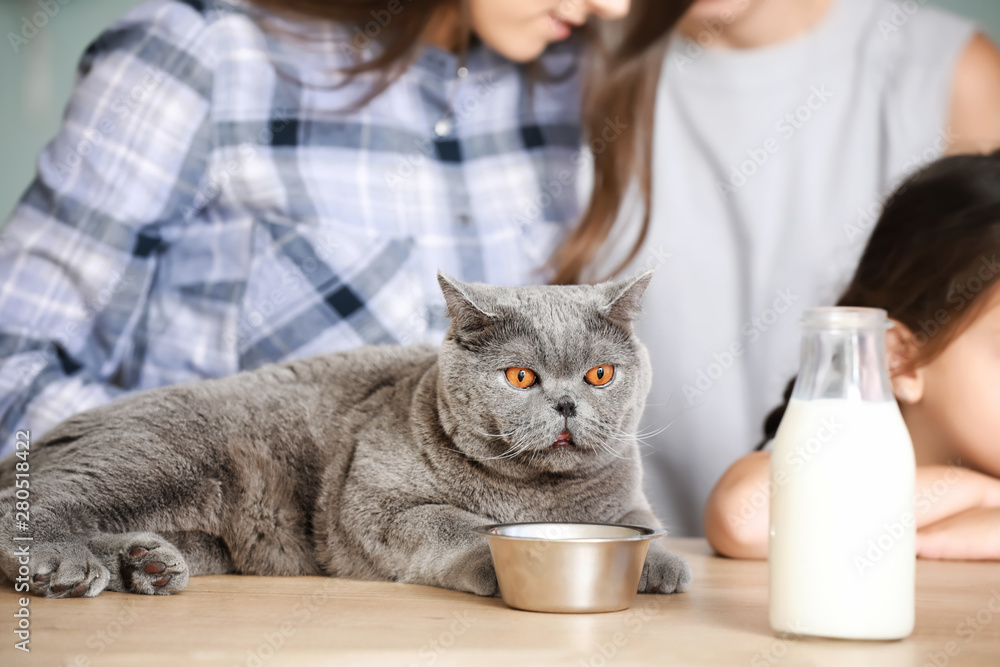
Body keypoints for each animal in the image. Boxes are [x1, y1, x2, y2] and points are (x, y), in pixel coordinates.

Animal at [0, 272, 688, 600]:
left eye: (600, 375)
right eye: (521, 377)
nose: (568, 402)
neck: (533, 495)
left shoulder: (627, 501)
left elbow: (640, 528)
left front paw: (657, 566)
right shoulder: (374, 505)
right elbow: (459, 524)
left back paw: (146, 564)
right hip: (160, 456)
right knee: (21, 510)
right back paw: (67, 565)